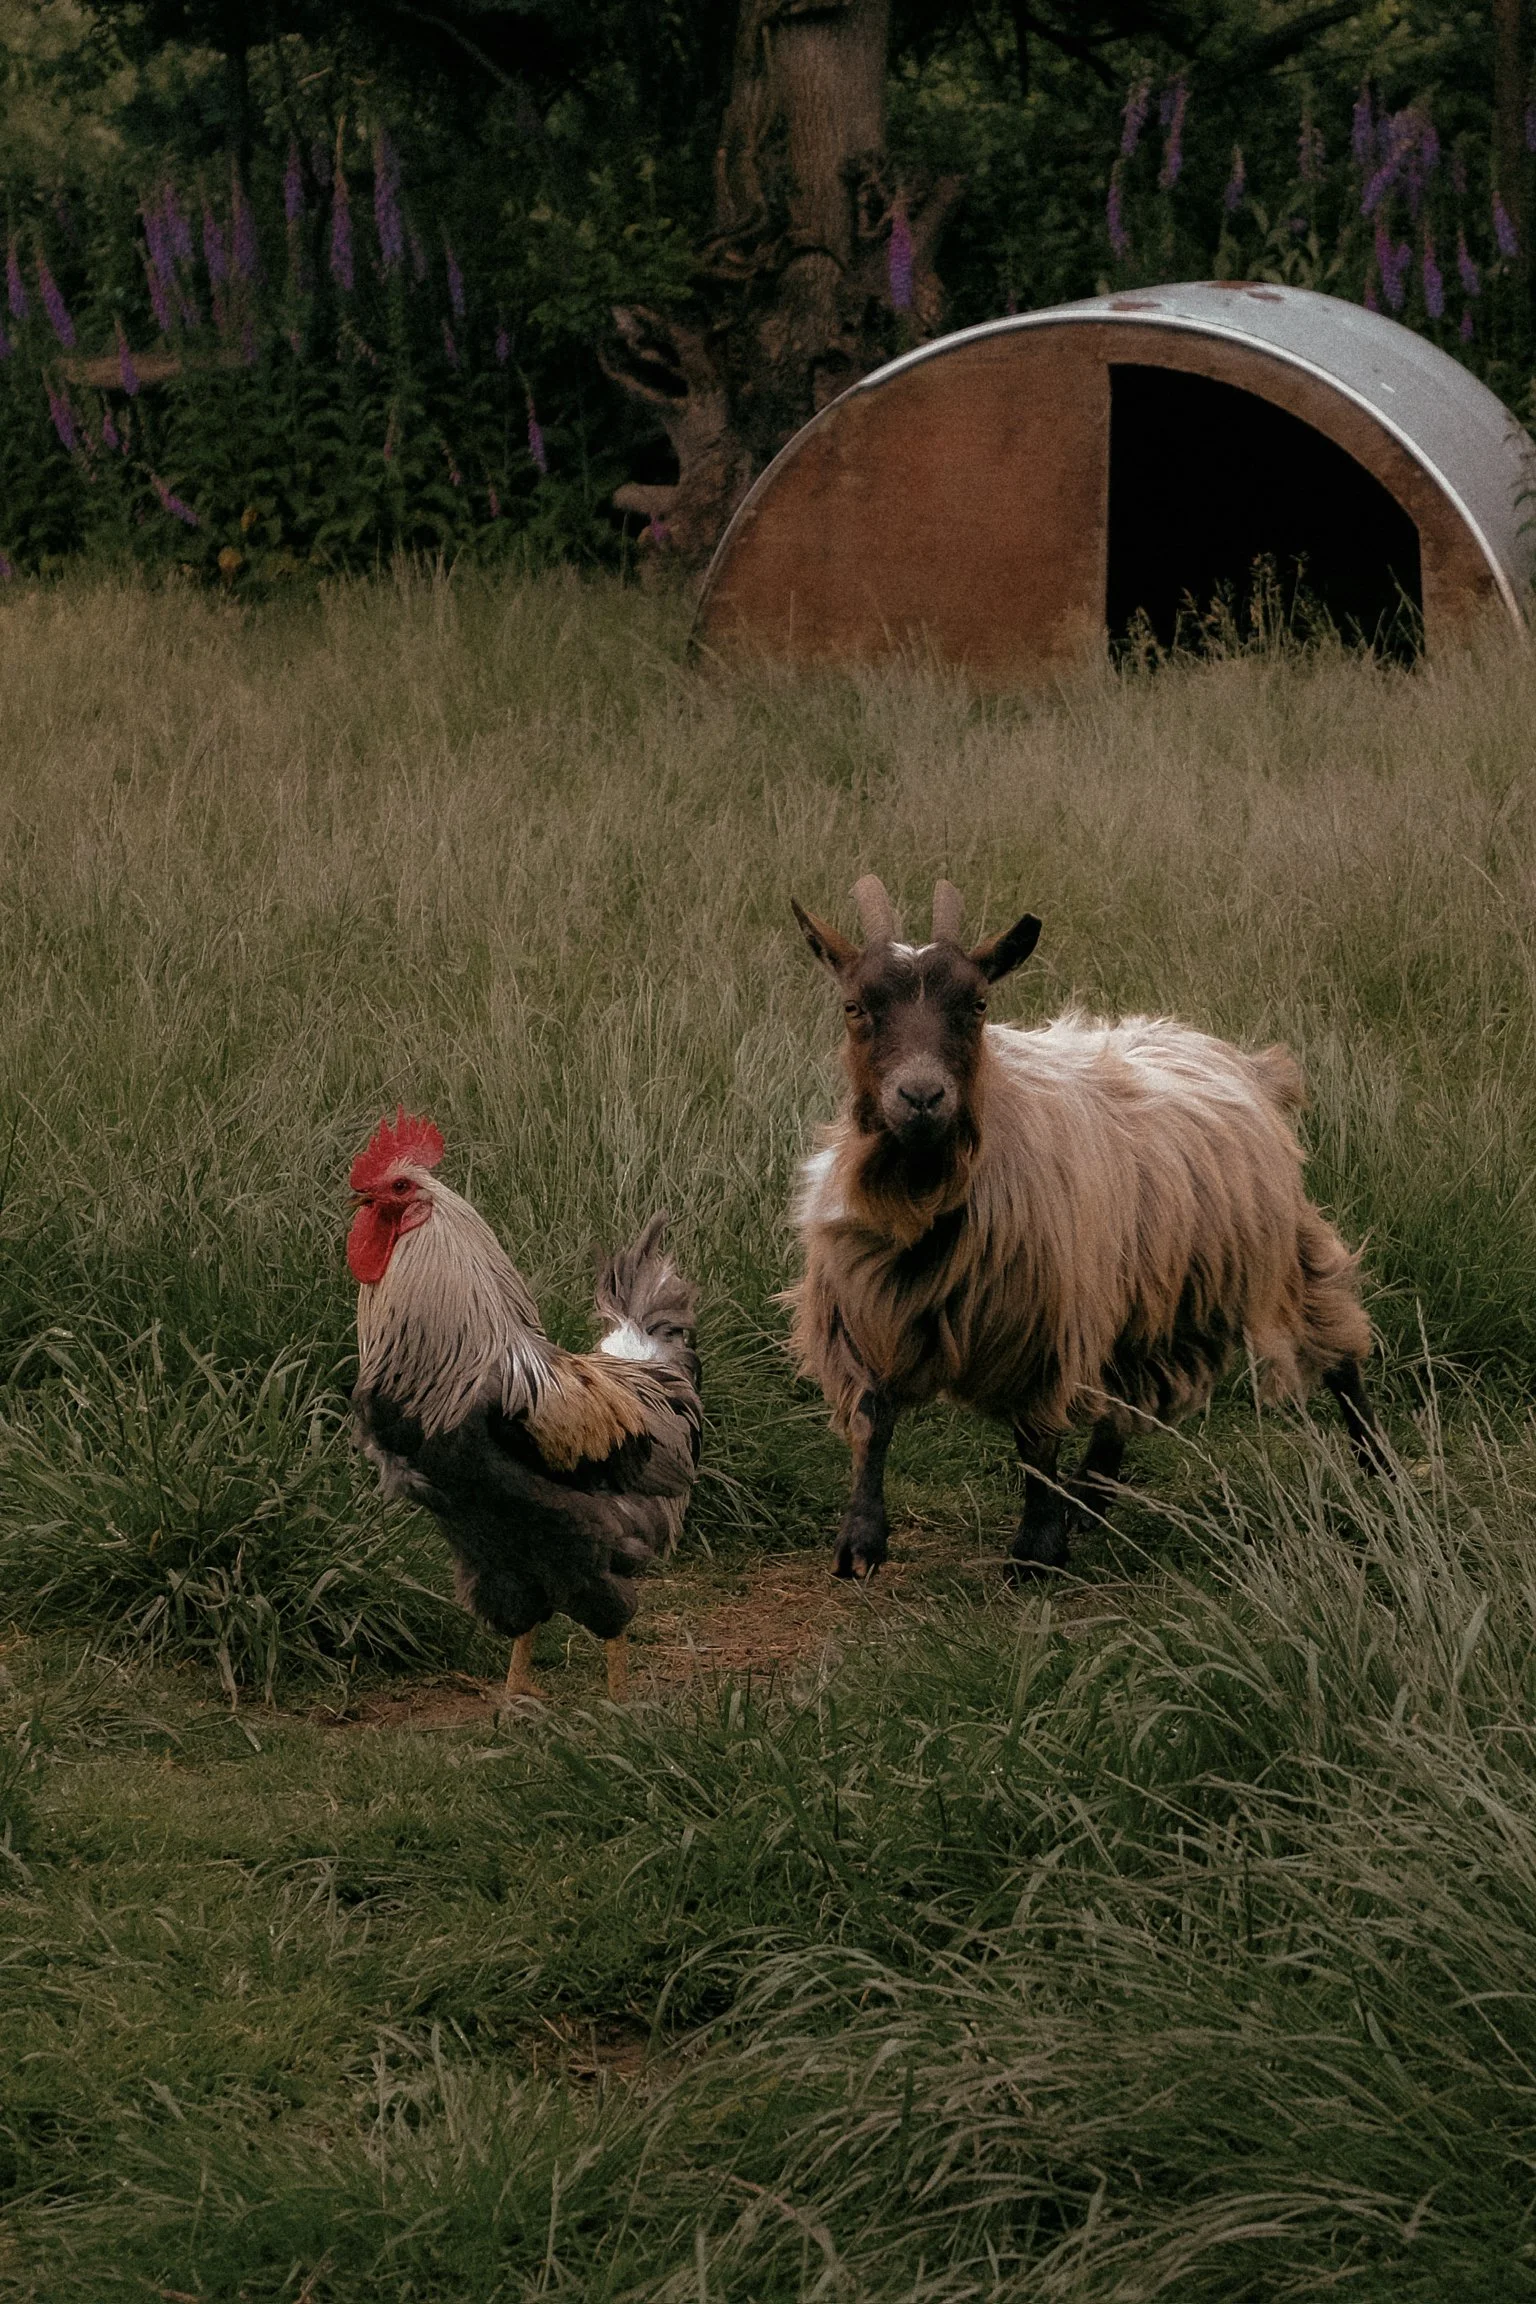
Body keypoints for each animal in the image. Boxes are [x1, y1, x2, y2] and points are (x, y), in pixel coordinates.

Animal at [786, 874, 1386, 1580]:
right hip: (1153, 1282)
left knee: (1338, 1346)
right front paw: (859, 1544)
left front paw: (1036, 1551)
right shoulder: (861, 1304)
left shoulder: (1047, 1317)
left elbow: (1035, 1438)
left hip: (1277, 1248)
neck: (923, 1191)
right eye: (855, 1006)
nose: (922, 1098)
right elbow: (872, 1419)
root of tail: (1247, 1063)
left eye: (978, 1004)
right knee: (1128, 1392)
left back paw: (1381, 1472)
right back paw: (1091, 1498)